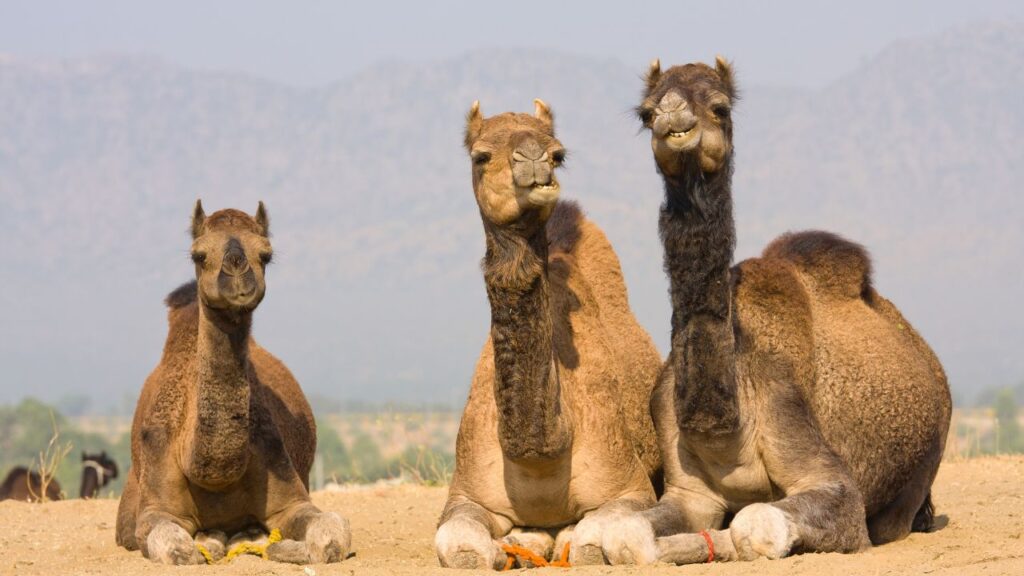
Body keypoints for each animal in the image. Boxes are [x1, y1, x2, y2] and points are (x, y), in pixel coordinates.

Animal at [115, 201, 351, 565]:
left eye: (266, 254)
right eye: (198, 255)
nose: (238, 272)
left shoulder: (290, 495)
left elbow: (332, 534)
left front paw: (280, 546)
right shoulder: (156, 506)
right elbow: (177, 547)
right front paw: (210, 543)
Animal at [435, 100, 663, 569]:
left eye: (558, 154)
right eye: (481, 156)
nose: (534, 159)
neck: (539, 456)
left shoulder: (631, 487)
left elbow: (590, 543)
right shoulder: (465, 494)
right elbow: (459, 544)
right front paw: (502, 550)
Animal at [591, 57, 952, 565]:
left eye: (719, 106)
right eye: (646, 113)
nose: (672, 117)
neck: (727, 419)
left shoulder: (820, 465)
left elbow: (755, 524)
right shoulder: (688, 492)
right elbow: (626, 533)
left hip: (923, 465)